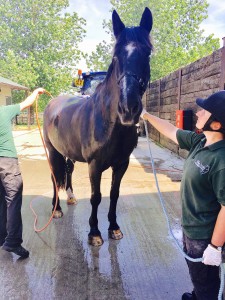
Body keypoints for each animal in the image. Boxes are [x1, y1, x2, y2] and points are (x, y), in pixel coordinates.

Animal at [43, 7, 153, 246]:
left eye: (147, 53)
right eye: (116, 55)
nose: (128, 108)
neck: (109, 124)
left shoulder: (121, 164)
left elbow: (114, 194)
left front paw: (114, 228)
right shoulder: (95, 165)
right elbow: (96, 197)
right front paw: (94, 233)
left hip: (68, 151)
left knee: (68, 171)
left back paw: (71, 197)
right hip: (53, 151)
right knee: (55, 176)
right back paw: (56, 210)